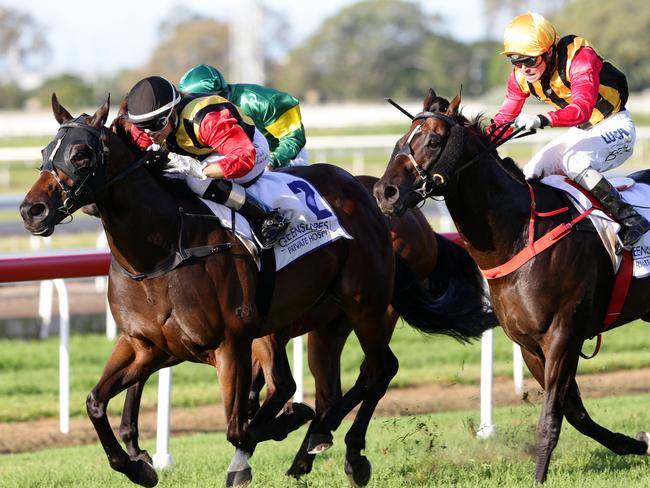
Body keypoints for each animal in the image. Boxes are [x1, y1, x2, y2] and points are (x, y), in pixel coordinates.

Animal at [20, 96, 494, 488]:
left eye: (81, 154)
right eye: (44, 153)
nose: (31, 210)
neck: (162, 252)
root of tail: (370, 195)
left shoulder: (230, 343)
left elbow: (239, 426)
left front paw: (279, 429)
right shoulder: (146, 345)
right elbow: (95, 402)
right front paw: (137, 464)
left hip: (367, 305)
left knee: (377, 371)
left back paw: (345, 451)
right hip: (324, 323)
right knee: (327, 385)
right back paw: (313, 442)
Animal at [372, 88, 648, 484]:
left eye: (434, 140)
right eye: (400, 140)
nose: (385, 193)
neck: (519, 234)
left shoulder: (563, 335)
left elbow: (551, 418)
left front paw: (539, 477)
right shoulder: (530, 344)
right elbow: (575, 413)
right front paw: (635, 443)